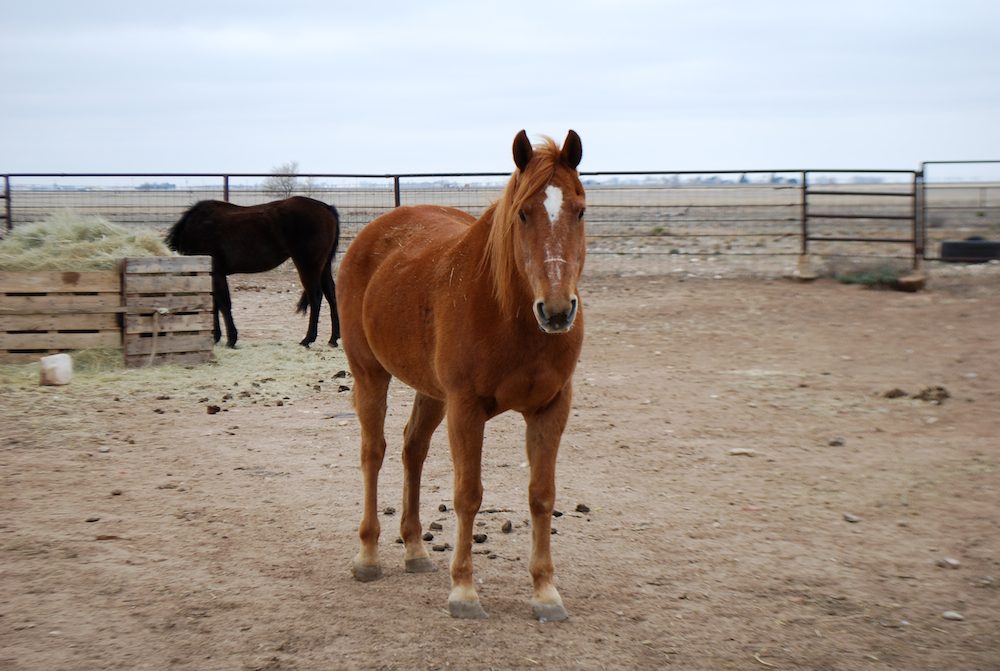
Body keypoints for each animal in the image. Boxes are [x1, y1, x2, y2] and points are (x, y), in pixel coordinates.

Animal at [165, 195, 341, 348]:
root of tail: (326, 207)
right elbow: (214, 304)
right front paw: (216, 336)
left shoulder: (217, 274)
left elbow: (223, 304)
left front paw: (231, 339)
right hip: (323, 267)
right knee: (332, 296)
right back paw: (333, 339)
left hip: (308, 266)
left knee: (315, 298)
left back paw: (308, 339)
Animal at [336, 130, 586, 622]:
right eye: (523, 213)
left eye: (580, 209)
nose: (556, 310)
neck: (510, 316)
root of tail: (373, 234)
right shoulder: (466, 408)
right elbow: (468, 494)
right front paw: (464, 592)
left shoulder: (551, 407)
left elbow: (542, 495)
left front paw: (546, 593)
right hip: (370, 375)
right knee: (374, 453)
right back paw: (368, 556)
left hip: (431, 393)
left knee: (412, 450)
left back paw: (415, 549)